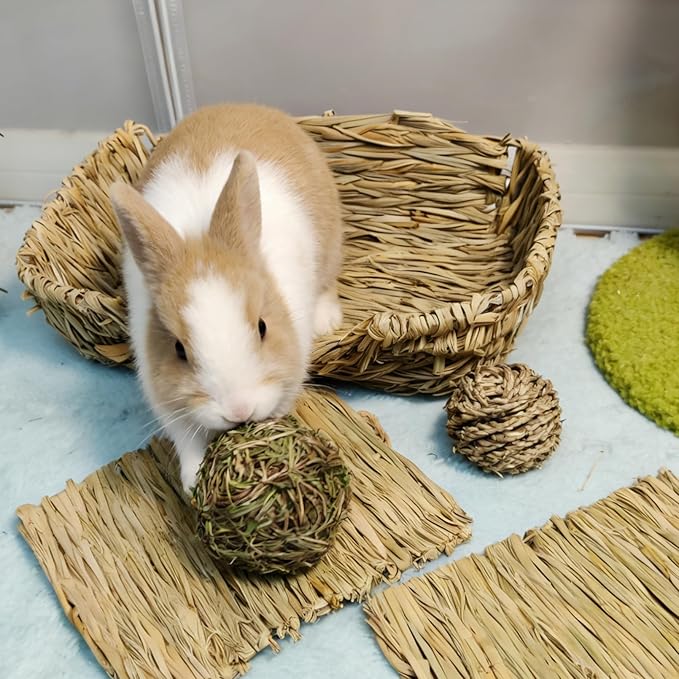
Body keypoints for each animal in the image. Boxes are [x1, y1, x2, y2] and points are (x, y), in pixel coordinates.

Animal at [110, 103, 343, 493]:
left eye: (263, 327)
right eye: (179, 350)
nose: (239, 411)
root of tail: (240, 104)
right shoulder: (168, 400)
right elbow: (187, 442)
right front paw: (193, 483)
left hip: (332, 243)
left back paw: (327, 319)